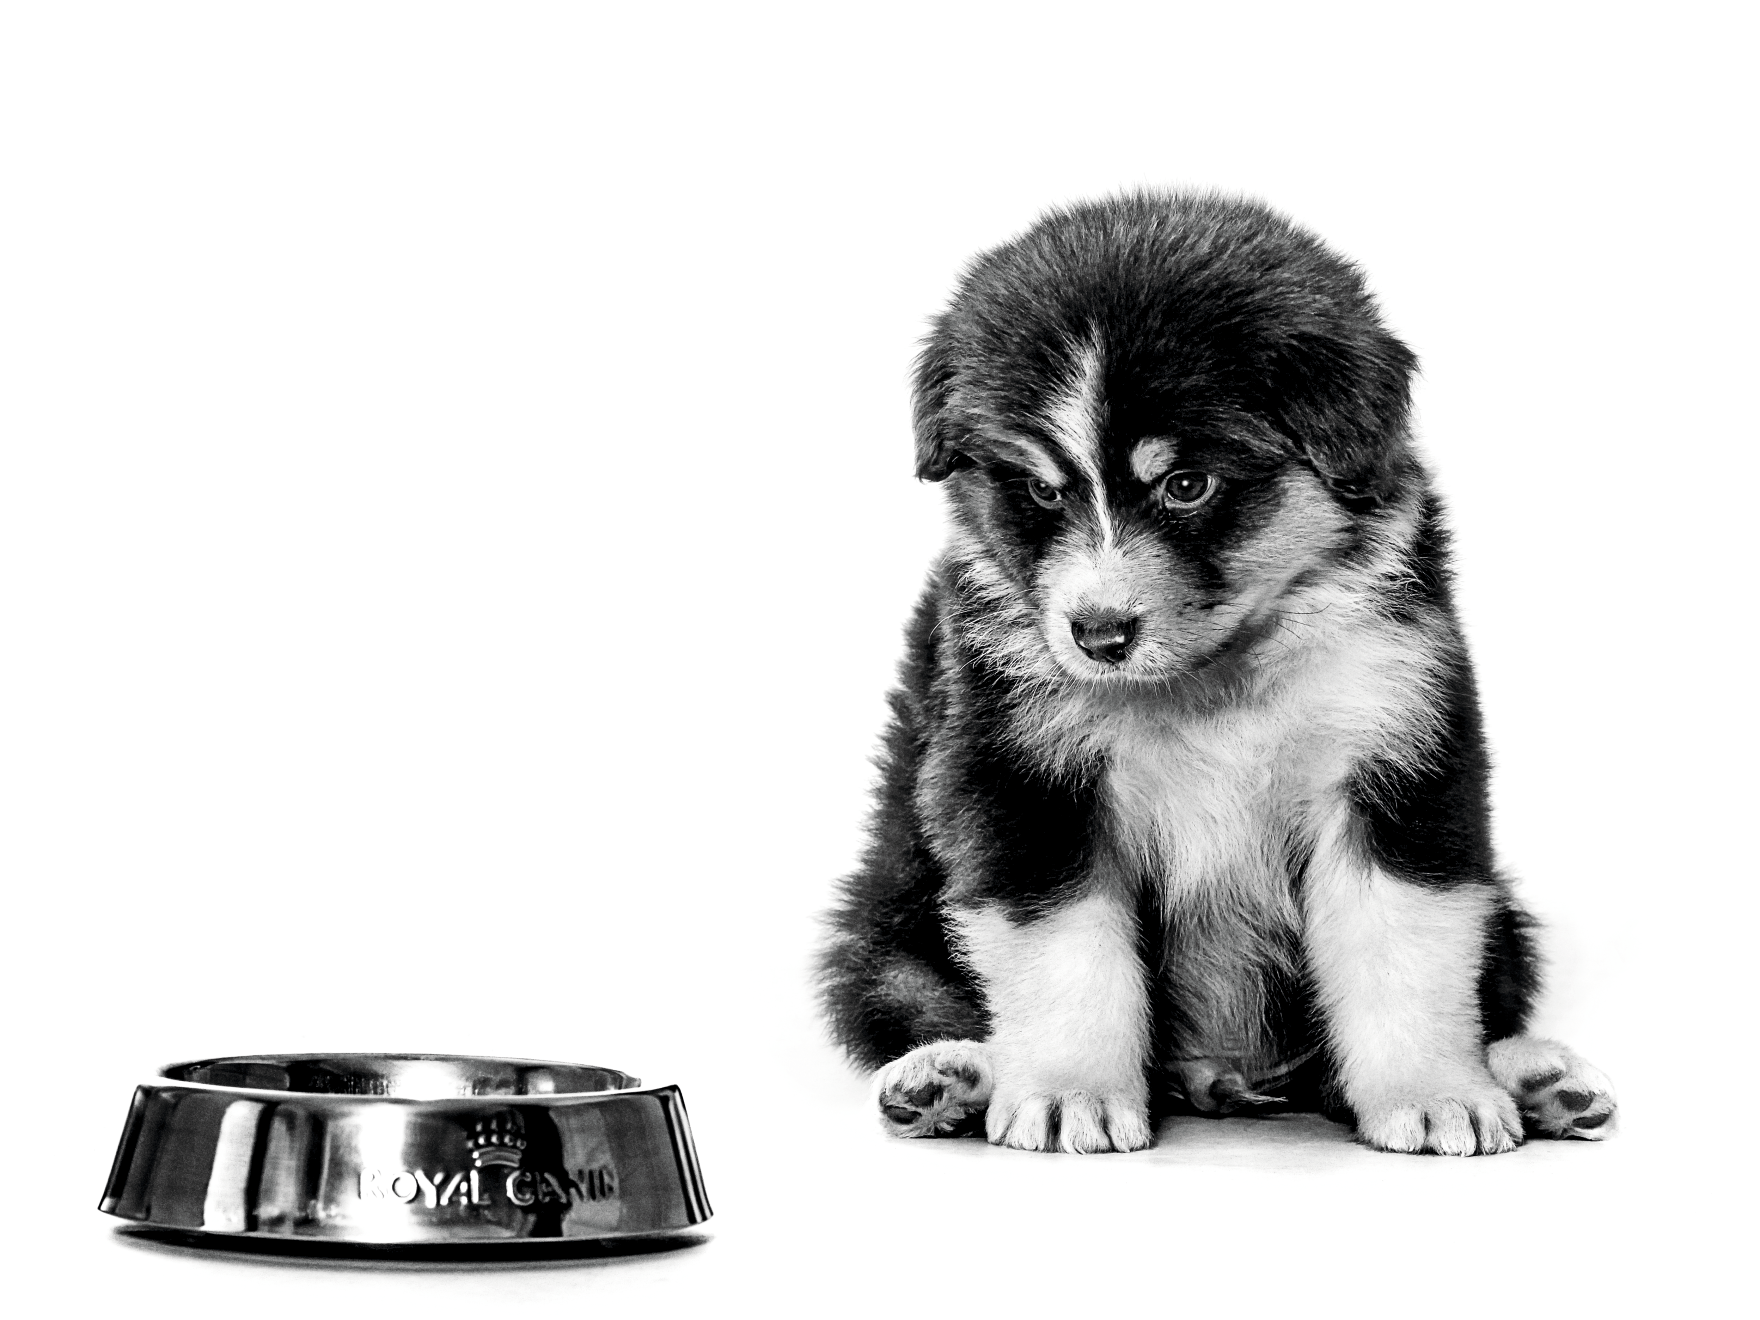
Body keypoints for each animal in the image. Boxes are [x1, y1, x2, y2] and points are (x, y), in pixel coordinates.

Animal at [816, 190, 1612, 1154]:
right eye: (1042, 491)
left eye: (1188, 485)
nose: (1098, 635)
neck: (1214, 680)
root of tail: (1222, 1075)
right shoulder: (1022, 781)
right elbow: (1065, 951)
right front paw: (1068, 1093)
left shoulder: (1394, 756)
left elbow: (1403, 947)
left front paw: (1435, 1094)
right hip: (882, 926)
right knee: (918, 996)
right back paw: (947, 1077)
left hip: (1507, 916)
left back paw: (1539, 1080)